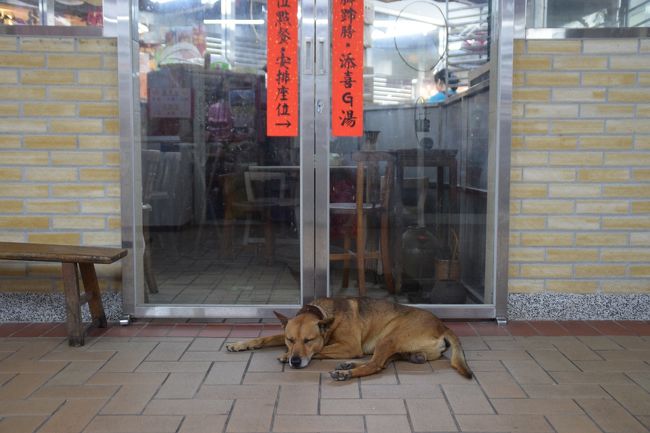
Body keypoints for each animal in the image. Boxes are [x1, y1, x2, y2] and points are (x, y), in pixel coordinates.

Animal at [225, 296, 468, 378]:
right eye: (290, 340)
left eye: (308, 340)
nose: (294, 360)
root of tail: (443, 325)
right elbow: (266, 337)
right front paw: (240, 344)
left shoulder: (350, 346)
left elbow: (320, 350)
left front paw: (286, 356)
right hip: (395, 346)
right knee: (381, 362)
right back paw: (347, 366)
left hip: (389, 336)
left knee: (375, 365)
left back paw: (345, 373)